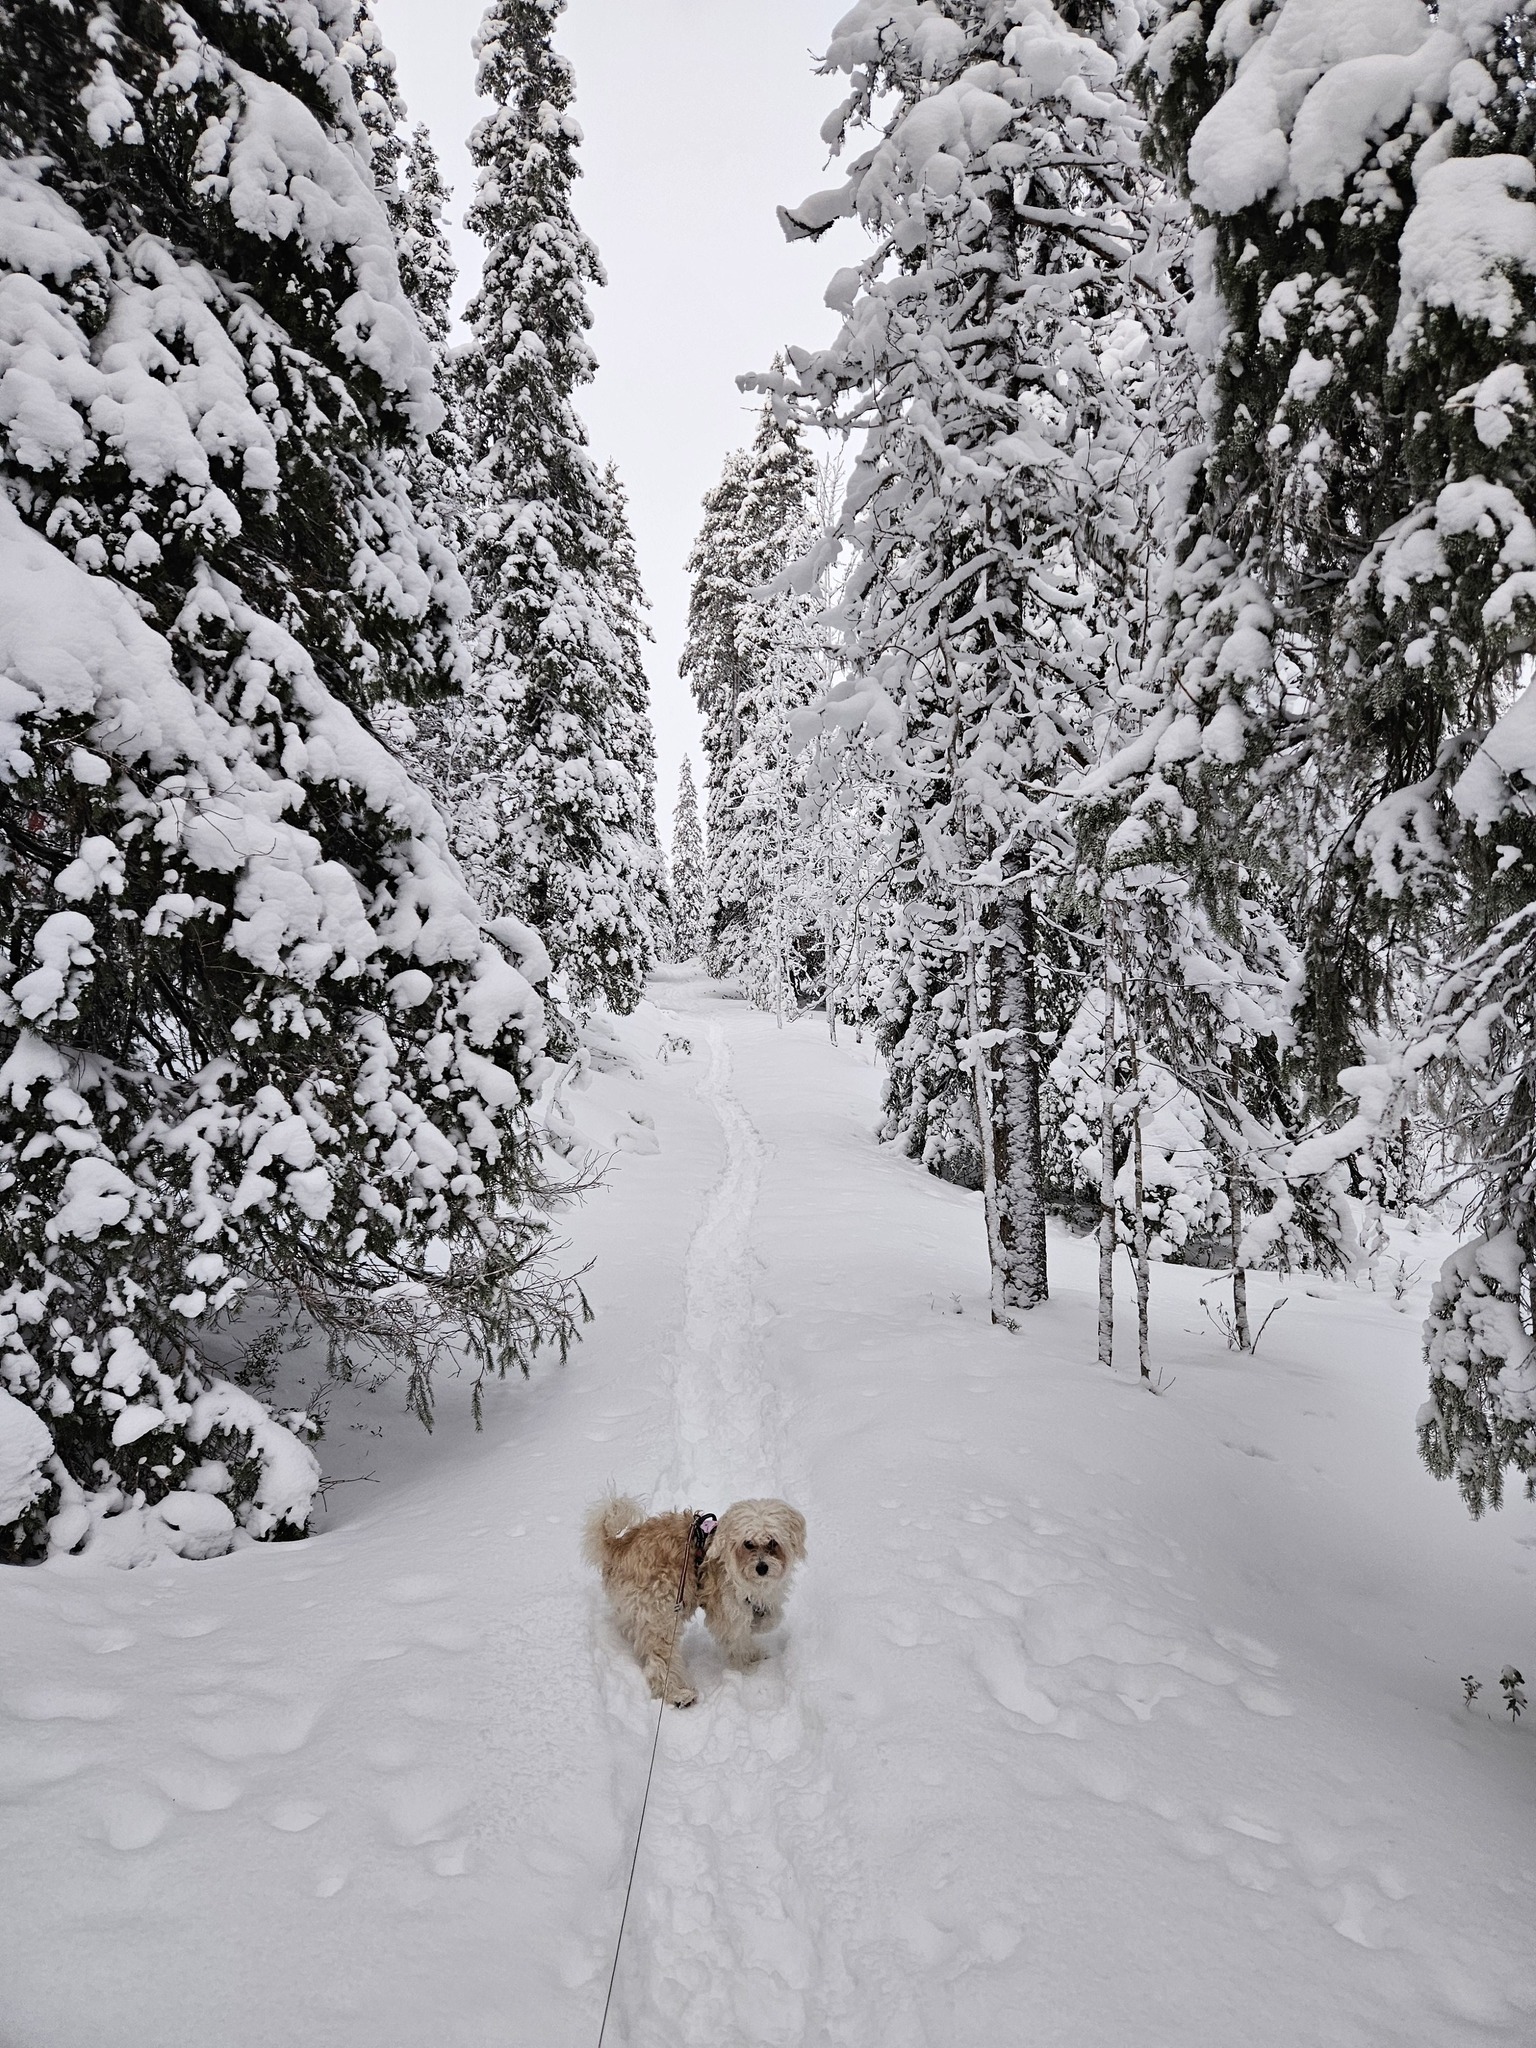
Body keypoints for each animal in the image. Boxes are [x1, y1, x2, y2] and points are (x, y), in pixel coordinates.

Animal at [582, 1495, 807, 1706]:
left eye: (772, 1542)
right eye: (748, 1543)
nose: (762, 1568)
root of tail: (618, 1546)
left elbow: (770, 1617)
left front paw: (759, 1627)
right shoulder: (727, 1608)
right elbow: (738, 1638)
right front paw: (748, 1663)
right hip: (661, 1614)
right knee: (658, 1661)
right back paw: (678, 1695)